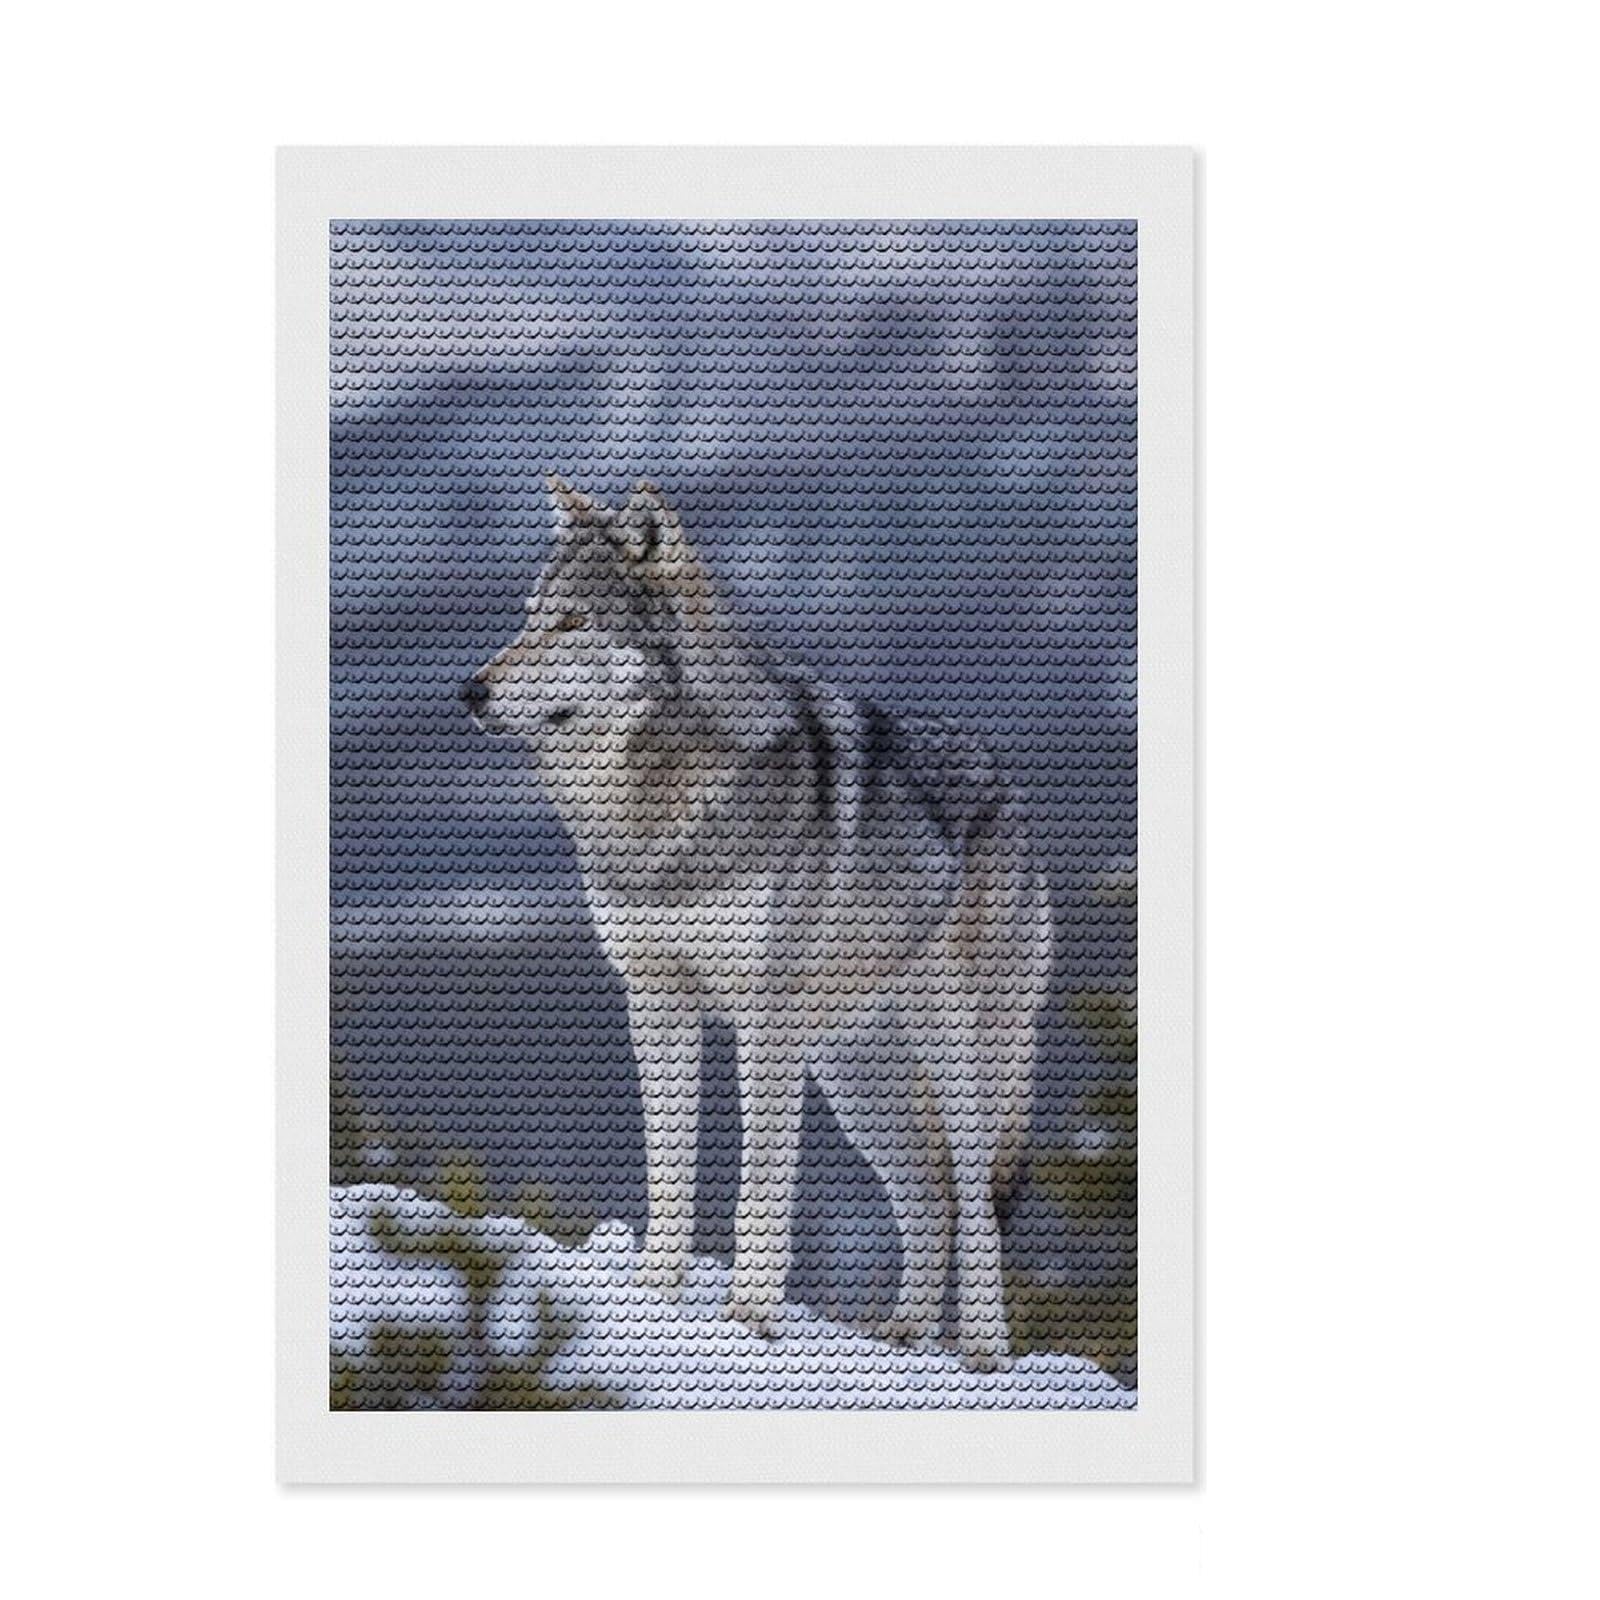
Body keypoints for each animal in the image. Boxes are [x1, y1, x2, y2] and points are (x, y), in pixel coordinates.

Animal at [461, 477, 1052, 1369]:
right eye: (528, 617)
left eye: (572, 622)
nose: (471, 691)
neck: (658, 810)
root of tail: (1011, 788)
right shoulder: (656, 998)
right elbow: (670, 1165)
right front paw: (653, 1295)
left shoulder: (763, 1019)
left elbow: (760, 1180)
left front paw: (748, 1318)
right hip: (853, 1076)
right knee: (931, 1195)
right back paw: (904, 1337)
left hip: (951, 1050)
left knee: (977, 1193)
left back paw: (982, 1351)